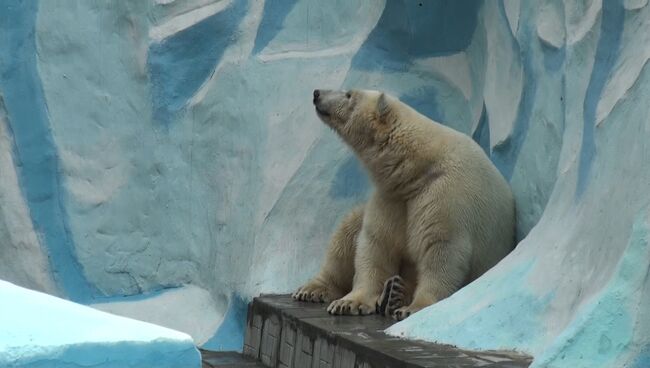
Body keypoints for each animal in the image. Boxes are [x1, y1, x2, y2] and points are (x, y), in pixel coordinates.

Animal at [292, 89, 512, 320]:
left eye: (349, 94)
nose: (317, 93)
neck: (417, 167)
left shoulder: (445, 194)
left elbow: (441, 248)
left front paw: (414, 308)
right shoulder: (392, 197)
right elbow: (376, 244)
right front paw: (349, 303)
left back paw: (395, 296)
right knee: (346, 233)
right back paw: (315, 289)